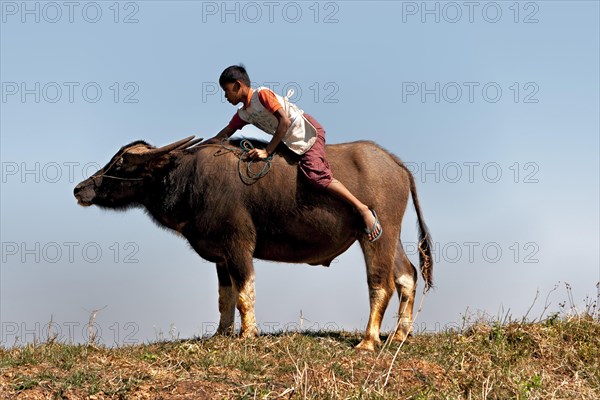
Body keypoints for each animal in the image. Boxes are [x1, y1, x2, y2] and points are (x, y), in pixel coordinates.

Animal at [74, 134, 432, 350]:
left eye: (121, 163)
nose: (80, 188)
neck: (188, 177)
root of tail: (397, 165)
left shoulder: (238, 246)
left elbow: (245, 293)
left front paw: (248, 334)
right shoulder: (221, 255)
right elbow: (225, 297)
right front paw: (221, 334)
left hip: (374, 237)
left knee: (381, 283)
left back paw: (369, 342)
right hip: (389, 237)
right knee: (407, 275)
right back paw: (400, 334)